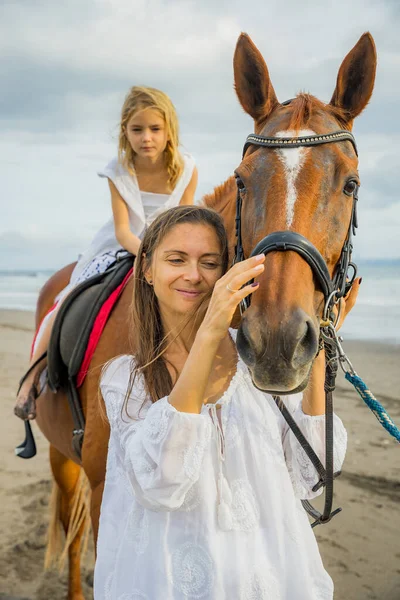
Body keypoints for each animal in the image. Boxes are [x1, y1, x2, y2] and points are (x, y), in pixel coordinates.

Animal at [27, 30, 376, 596]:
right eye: (242, 180)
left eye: (350, 184)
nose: (277, 341)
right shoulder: (103, 487)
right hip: (64, 459)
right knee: (74, 537)